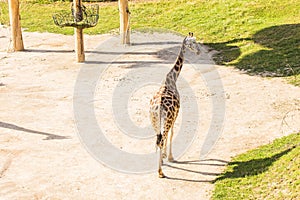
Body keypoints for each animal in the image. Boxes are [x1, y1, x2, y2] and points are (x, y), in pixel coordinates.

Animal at [150, 32, 202, 177]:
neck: (172, 79)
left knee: (158, 140)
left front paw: (164, 157)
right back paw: (160, 172)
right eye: (191, 42)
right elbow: (172, 133)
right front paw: (170, 157)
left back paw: (160, 167)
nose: (199, 51)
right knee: (162, 138)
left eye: (196, 40)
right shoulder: (176, 115)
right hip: (166, 119)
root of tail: (158, 107)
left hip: (155, 121)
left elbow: (166, 136)